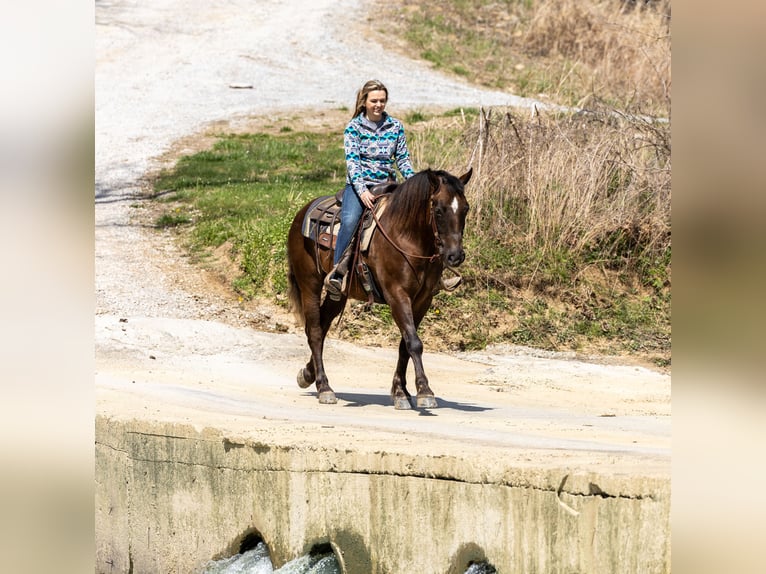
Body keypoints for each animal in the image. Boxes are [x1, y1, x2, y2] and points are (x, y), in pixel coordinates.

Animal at [284, 169, 472, 412]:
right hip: (310, 285)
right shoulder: (397, 295)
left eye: (465, 208)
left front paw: (401, 391)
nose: (455, 256)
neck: (406, 237)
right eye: (438, 210)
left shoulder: (422, 300)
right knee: (315, 331)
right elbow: (414, 342)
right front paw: (424, 390)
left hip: (338, 294)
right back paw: (324, 387)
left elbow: (405, 345)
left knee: (323, 326)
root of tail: (301, 214)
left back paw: (308, 374)